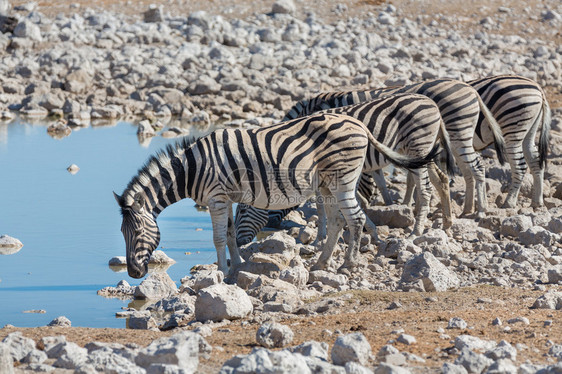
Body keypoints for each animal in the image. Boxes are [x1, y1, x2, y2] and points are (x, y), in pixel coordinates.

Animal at [112, 112, 428, 278]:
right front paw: (236, 268)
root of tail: (358, 123)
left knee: (356, 219)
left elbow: (217, 237)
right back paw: (321, 263)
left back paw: (348, 264)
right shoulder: (226, 198)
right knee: (339, 221)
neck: (192, 169)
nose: (134, 274)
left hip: (343, 180)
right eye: (122, 233)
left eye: (136, 233)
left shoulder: (216, 197)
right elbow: (229, 234)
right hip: (327, 185)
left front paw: (222, 272)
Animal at [235, 93, 450, 245]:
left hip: (417, 146)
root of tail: (433, 105)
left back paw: (416, 231)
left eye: (243, 210)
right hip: (421, 154)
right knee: (441, 180)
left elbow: (324, 208)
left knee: (425, 190)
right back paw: (447, 223)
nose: (239, 243)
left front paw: (321, 238)